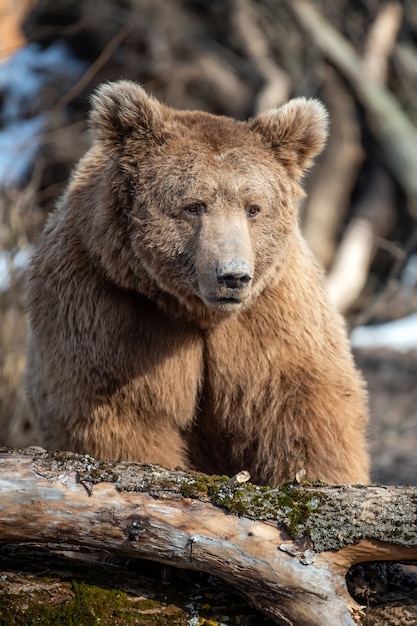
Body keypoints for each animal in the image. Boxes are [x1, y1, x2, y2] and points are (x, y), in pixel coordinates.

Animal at [26, 79, 368, 482]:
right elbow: (124, 411)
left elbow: (298, 409)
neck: (196, 310)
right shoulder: (110, 307)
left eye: (253, 208)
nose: (233, 276)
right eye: (194, 206)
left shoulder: (273, 312)